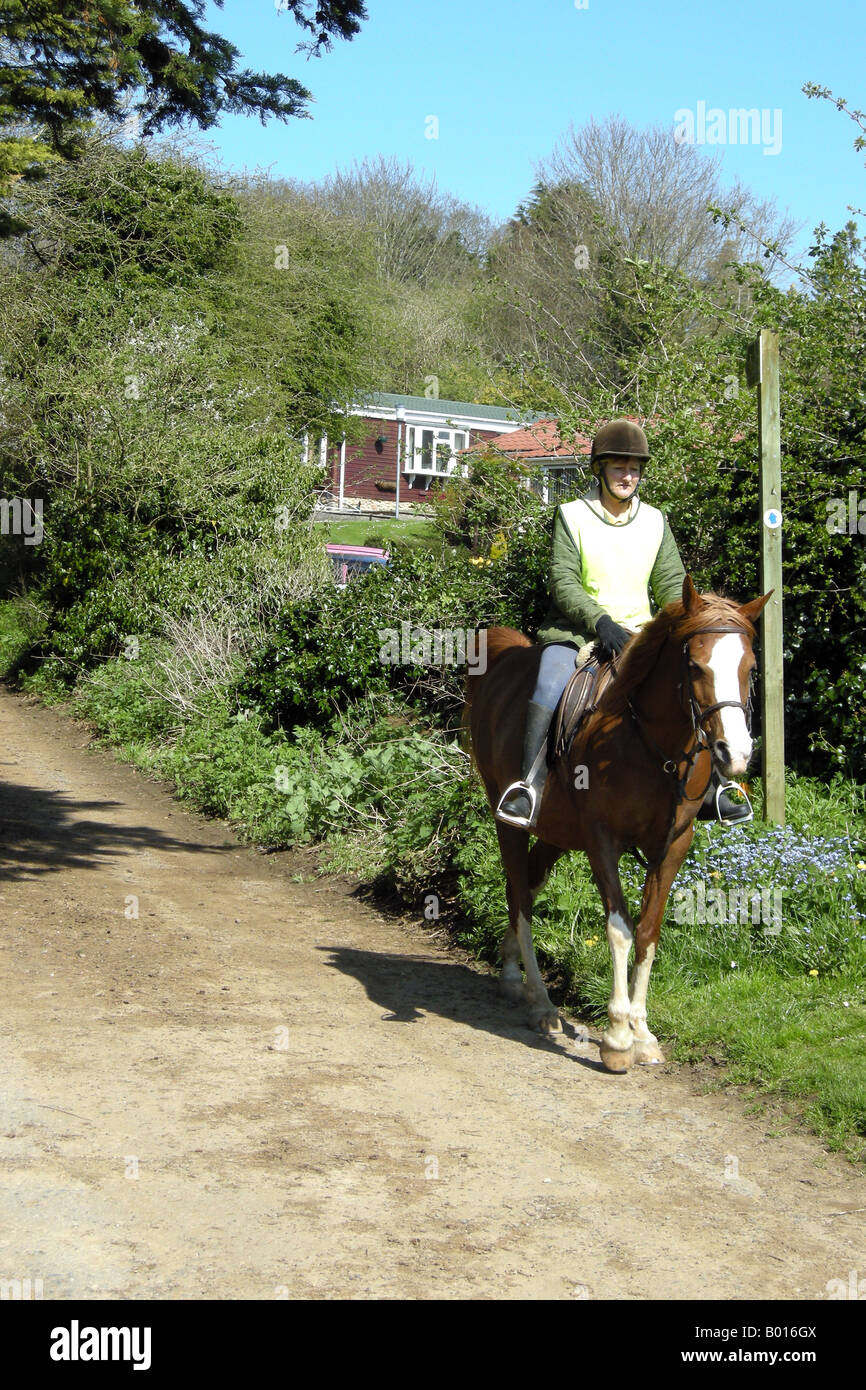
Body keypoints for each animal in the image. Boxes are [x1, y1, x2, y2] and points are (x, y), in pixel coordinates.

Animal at [464, 575, 767, 1073]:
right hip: (508, 818)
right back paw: (541, 1002)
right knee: (521, 897)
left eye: (750, 666)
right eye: (696, 667)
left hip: (556, 833)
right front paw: (618, 1037)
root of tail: (504, 657)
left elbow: (648, 930)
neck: (653, 743)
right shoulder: (602, 840)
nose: (735, 754)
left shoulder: (674, 844)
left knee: (524, 885)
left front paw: (643, 1033)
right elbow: (620, 928)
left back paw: (511, 975)